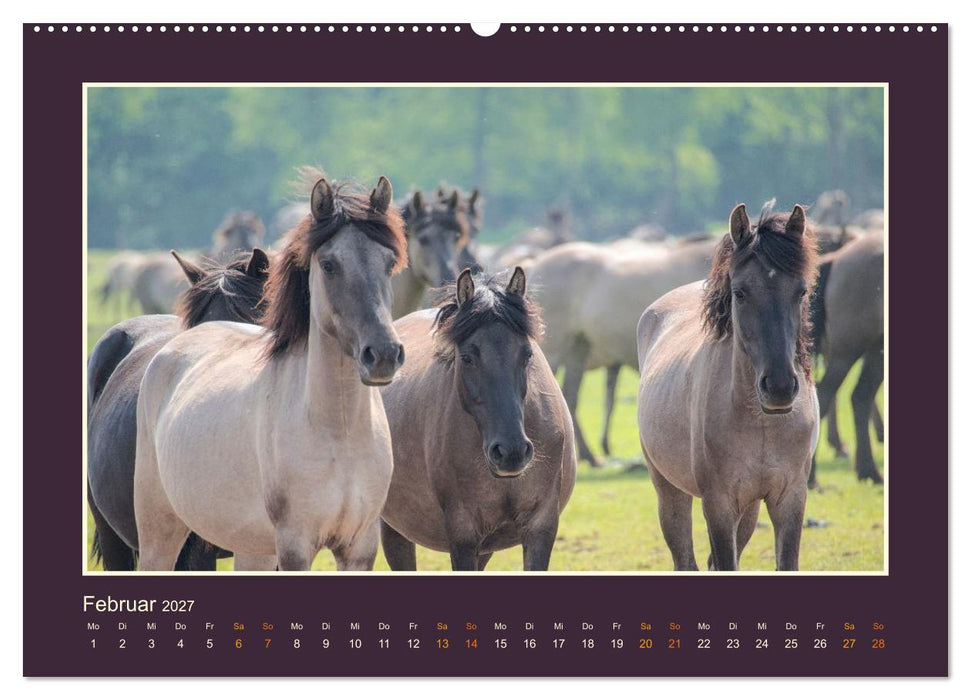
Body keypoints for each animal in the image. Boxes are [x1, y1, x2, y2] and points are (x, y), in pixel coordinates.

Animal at [133, 170, 407, 571]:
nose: (384, 354)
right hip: (160, 533)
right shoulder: (295, 546)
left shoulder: (358, 548)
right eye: (329, 265)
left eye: (389, 263)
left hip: (254, 549)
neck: (338, 431)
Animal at [380, 268, 576, 570]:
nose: (511, 452)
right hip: (394, 529)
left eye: (527, 354)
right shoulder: (463, 536)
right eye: (467, 357)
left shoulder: (540, 528)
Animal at [636, 202, 819, 571]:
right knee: (685, 558)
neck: (763, 423)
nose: (779, 387)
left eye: (801, 291)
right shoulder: (719, 504)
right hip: (669, 490)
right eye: (740, 293)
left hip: (749, 507)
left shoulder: (790, 498)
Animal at [809, 231, 885, 485]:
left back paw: (869, 471)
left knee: (860, 396)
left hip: (875, 348)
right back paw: (812, 478)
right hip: (848, 349)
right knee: (825, 394)